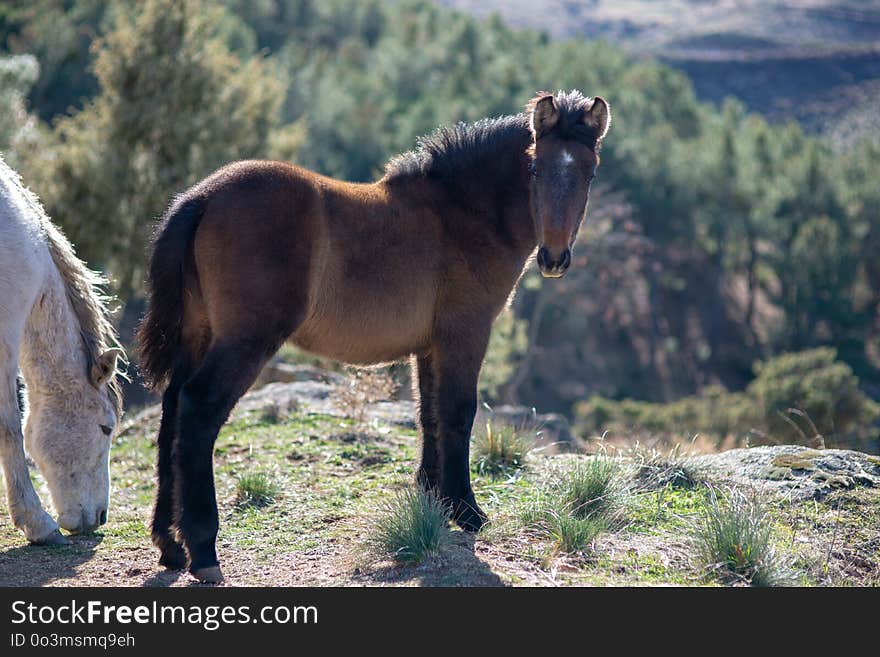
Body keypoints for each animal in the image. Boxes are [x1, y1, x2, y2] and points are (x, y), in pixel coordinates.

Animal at [136, 89, 612, 580]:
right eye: (535, 168)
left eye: (590, 172)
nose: (553, 258)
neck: (462, 212)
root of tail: (203, 197)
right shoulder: (466, 335)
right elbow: (458, 414)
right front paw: (467, 510)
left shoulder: (429, 347)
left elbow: (429, 415)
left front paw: (432, 501)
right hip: (245, 340)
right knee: (198, 410)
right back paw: (203, 550)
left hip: (198, 334)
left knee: (171, 408)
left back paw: (169, 545)